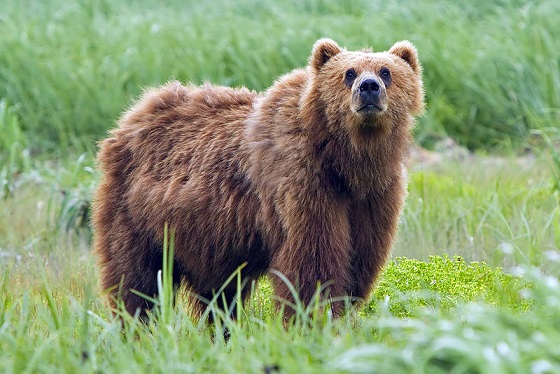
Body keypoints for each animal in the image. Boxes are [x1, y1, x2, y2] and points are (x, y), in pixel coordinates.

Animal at [92, 37, 424, 322]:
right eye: (348, 73)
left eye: (386, 71)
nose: (368, 87)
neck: (346, 162)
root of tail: (133, 114)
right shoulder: (303, 183)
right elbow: (313, 263)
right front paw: (314, 318)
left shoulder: (374, 196)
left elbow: (359, 260)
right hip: (137, 214)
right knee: (137, 279)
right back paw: (136, 327)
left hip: (208, 238)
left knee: (219, 295)